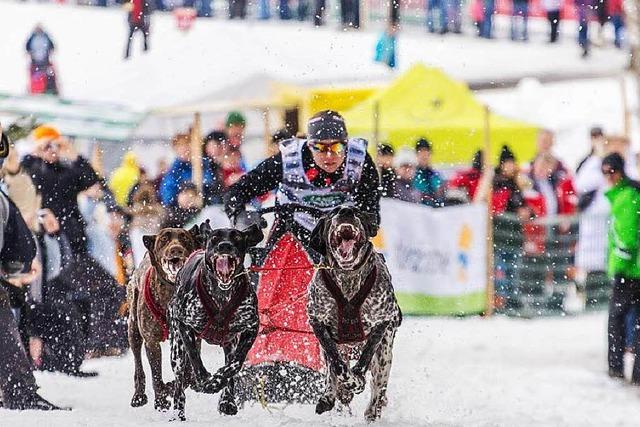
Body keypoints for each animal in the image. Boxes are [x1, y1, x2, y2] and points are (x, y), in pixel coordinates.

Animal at [126, 226, 201, 412]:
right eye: (164, 240)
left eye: (184, 238)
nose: (176, 249)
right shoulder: (151, 342)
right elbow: (156, 374)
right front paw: (160, 400)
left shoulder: (192, 338)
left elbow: (187, 374)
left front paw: (175, 386)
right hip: (133, 331)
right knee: (138, 364)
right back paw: (139, 396)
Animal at [169, 224, 264, 422]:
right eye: (214, 238)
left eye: (237, 237)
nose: (225, 246)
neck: (221, 297)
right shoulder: (183, 323)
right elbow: (194, 356)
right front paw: (205, 380)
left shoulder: (251, 327)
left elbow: (235, 364)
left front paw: (218, 382)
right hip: (176, 351)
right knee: (179, 384)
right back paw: (178, 412)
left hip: (230, 343)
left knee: (231, 367)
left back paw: (227, 401)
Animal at [308, 206, 402, 422]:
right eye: (333, 212)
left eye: (357, 212)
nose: (346, 210)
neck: (348, 278)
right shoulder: (317, 321)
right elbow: (336, 364)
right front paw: (343, 387)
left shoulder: (381, 322)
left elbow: (365, 358)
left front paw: (356, 381)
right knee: (332, 370)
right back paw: (331, 395)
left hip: (385, 354)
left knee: (379, 385)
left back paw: (373, 409)